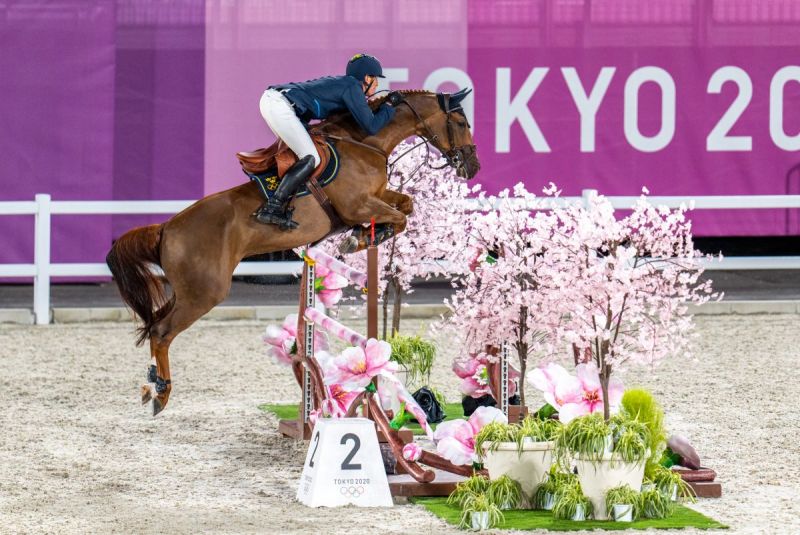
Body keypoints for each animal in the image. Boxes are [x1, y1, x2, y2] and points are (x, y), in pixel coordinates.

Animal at [105, 88, 480, 416]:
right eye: (462, 122)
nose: (472, 166)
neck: (366, 143)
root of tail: (167, 228)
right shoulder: (358, 205)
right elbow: (400, 215)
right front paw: (360, 238)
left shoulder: (377, 197)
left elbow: (406, 204)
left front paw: (362, 236)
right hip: (205, 293)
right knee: (161, 331)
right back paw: (161, 393)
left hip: (187, 291)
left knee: (154, 324)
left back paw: (150, 385)